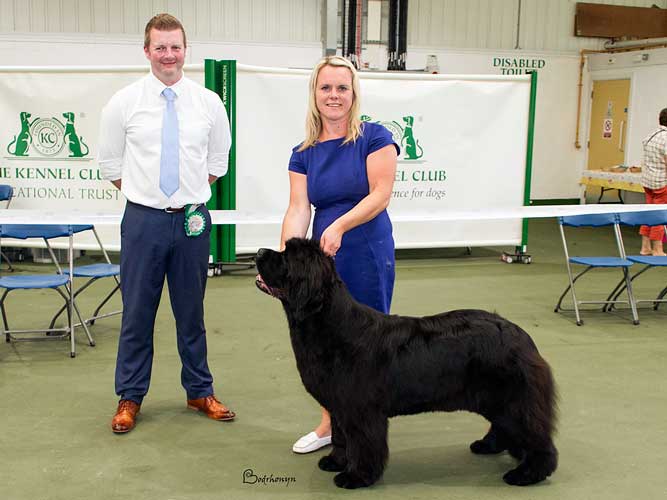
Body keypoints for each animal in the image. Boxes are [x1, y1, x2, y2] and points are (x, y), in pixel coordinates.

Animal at [256, 238, 560, 488]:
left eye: (286, 256)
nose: (259, 251)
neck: (329, 324)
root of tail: (521, 334)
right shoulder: (340, 406)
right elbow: (342, 437)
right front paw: (336, 461)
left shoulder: (361, 409)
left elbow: (363, 443)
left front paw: (357, 476)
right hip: (496, 399)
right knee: (505, 426)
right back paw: (489, 446)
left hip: (512, 399)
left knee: (536, 435)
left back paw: (528, 473)